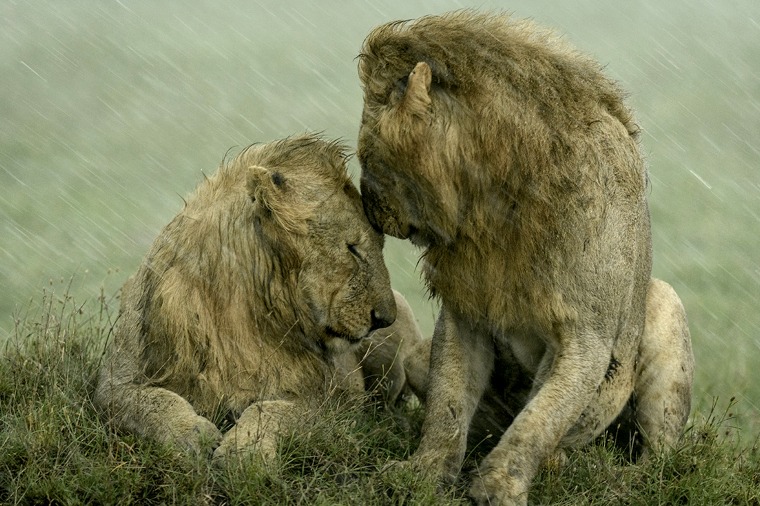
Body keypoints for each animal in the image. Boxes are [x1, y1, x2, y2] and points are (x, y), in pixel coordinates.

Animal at [93, 134, 430, 462]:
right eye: (352, 248)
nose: (384, 319)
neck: (237, 309)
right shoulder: (115, 382)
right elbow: (151, 403)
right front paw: (192, 435)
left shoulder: (331, 404)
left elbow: (270, 409)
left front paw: (246, 450)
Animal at [356, 11, 696, 506]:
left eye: (367, 155)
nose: (367, 206)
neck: (495, 204)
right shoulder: (464, 314)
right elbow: (447, 406)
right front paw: (423, 474)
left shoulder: (587, 337)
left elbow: (540, 418)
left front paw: (499, 486)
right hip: (419, 356)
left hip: (664, 306)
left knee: (659, 452)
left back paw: (619, 476)